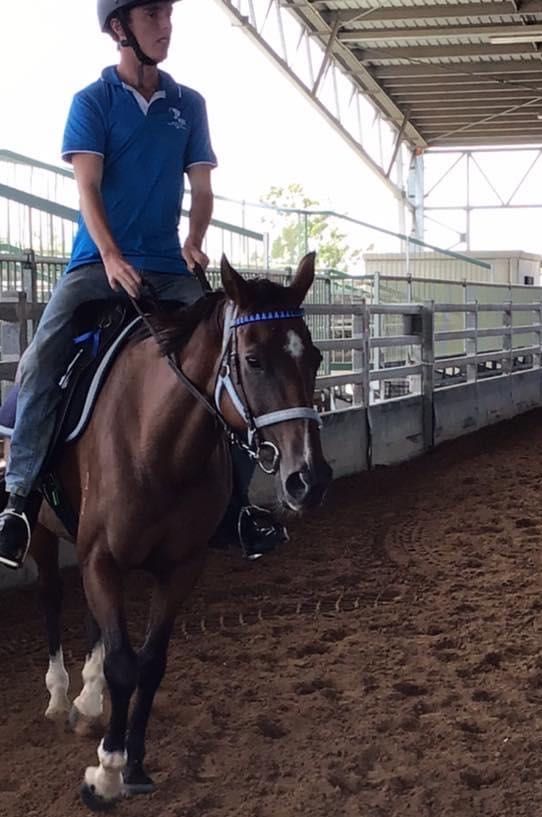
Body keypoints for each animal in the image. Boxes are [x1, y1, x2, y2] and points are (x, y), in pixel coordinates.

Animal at [20, 252, 332, 810]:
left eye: (315, 357)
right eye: (253, 360)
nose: (309, 480)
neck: (156, 440)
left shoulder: (180, 567)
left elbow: (150, 662)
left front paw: (133, 763)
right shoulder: (102, 558)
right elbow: (125, 665)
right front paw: (106, 774)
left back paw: (87, 700)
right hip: (41, 529)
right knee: (51, 595)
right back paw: (58, 695)